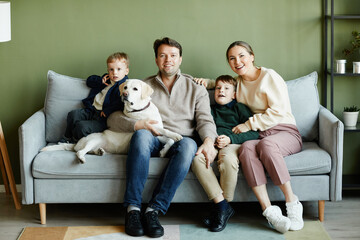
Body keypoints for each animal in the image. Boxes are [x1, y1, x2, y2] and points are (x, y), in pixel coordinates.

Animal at [41, 79, 183, 164]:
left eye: (135, 89)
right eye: (125, 87)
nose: (125, 94)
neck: (141, 109)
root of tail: (76, 143)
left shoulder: (156, 135)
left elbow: (169, 140)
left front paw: (163, 151)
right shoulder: (147, 127)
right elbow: (164, 130)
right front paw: (176, 135)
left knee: (89, 151)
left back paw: (100, 151)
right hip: (94, 140)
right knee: (80, 152)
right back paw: (82, 158)